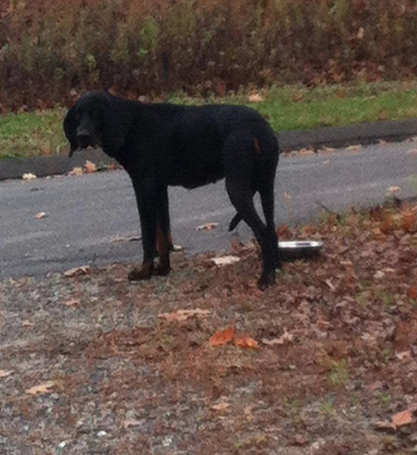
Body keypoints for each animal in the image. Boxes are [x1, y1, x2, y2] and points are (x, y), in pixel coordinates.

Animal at [64, 90, 280, 286]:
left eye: (97, 113)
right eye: (78, 114)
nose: (82, 135)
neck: (130, 125)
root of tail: (259, 126)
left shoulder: (144, 188)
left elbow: (148, 236)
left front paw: (144, 272)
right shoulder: (159, 189)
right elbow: (163, 234)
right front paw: (163, 269)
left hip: (237, 188)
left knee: (263, 232)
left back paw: (265, 279)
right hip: (266, 187)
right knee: (271, 229)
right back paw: (276, 269)